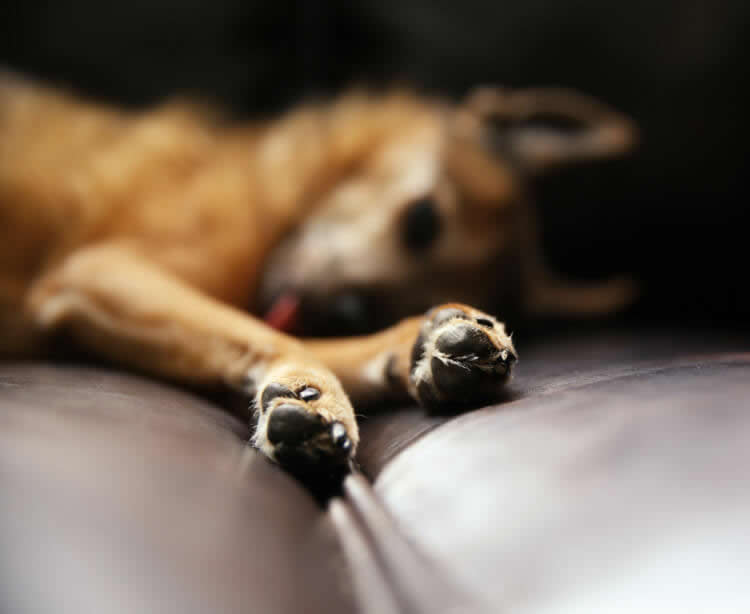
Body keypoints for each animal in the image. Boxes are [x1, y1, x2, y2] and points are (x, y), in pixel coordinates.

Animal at [0, 73, 636, 482]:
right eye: (423, 219)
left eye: (383, 304)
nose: (343, 308)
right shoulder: (98, 268)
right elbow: (273, 335)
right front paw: (311, 390)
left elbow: (293, 335)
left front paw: (413, 348)